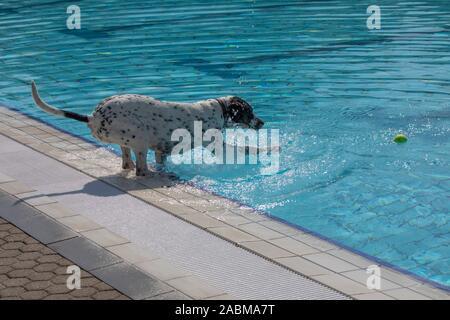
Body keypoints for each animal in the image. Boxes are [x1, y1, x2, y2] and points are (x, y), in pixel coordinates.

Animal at [30, 79, 264, 175]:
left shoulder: (162, 152)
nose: (262, 123)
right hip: (138, 137)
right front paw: (265, 150)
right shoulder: (218, 145)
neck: (219, 109)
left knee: (127, 161)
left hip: (126, 142)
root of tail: (93, 116)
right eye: (250, 111)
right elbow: (248, 149)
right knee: (141, 170)